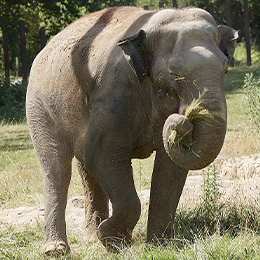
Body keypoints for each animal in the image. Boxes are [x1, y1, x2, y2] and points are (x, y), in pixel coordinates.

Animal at [25, 6, 239, 256]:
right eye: (174, 73)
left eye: (225, 68)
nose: (185, 119)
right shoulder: (114, 93)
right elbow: (102, 154)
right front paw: (113, 241)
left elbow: (170, 167)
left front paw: (159, 245)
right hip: (39, 107)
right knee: (57, 168)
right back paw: (56, 250)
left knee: (84, 167)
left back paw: (91, 238)